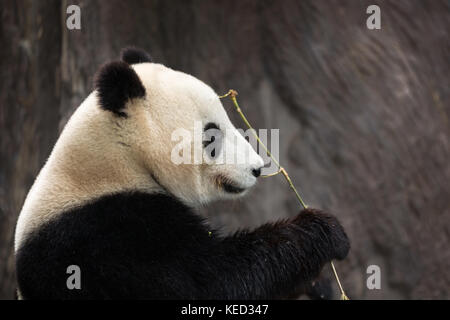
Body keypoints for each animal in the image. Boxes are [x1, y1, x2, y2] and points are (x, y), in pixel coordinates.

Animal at [14, 47, 350, 300]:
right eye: (212, 135)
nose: (257, 168)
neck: (119, 162)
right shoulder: (112, 235)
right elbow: (213, 282)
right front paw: (326, 231)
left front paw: (319, 285)